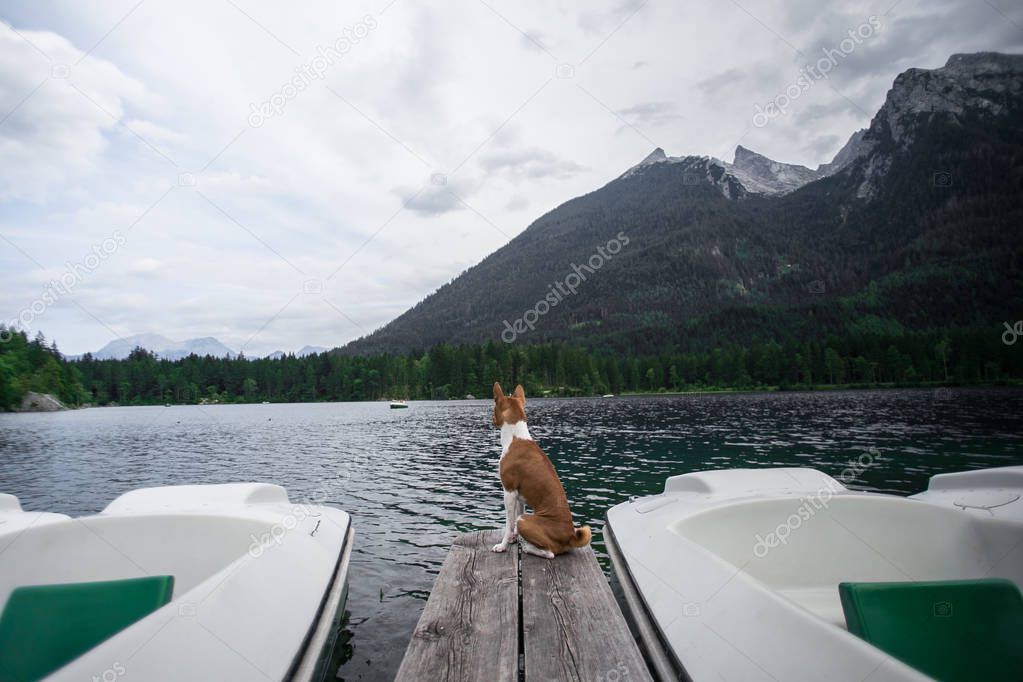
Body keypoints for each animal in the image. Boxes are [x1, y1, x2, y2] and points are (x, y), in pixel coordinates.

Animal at [493, 382, 597, 556]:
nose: (491, 418)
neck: (515, 437)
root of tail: (570, 536)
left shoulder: (509, 492)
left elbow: (509, 523)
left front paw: (503, 545)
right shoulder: (519, 496)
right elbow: (517, 515)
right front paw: (514, 538)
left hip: (525, 521)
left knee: (550, 552)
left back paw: (528, 547)